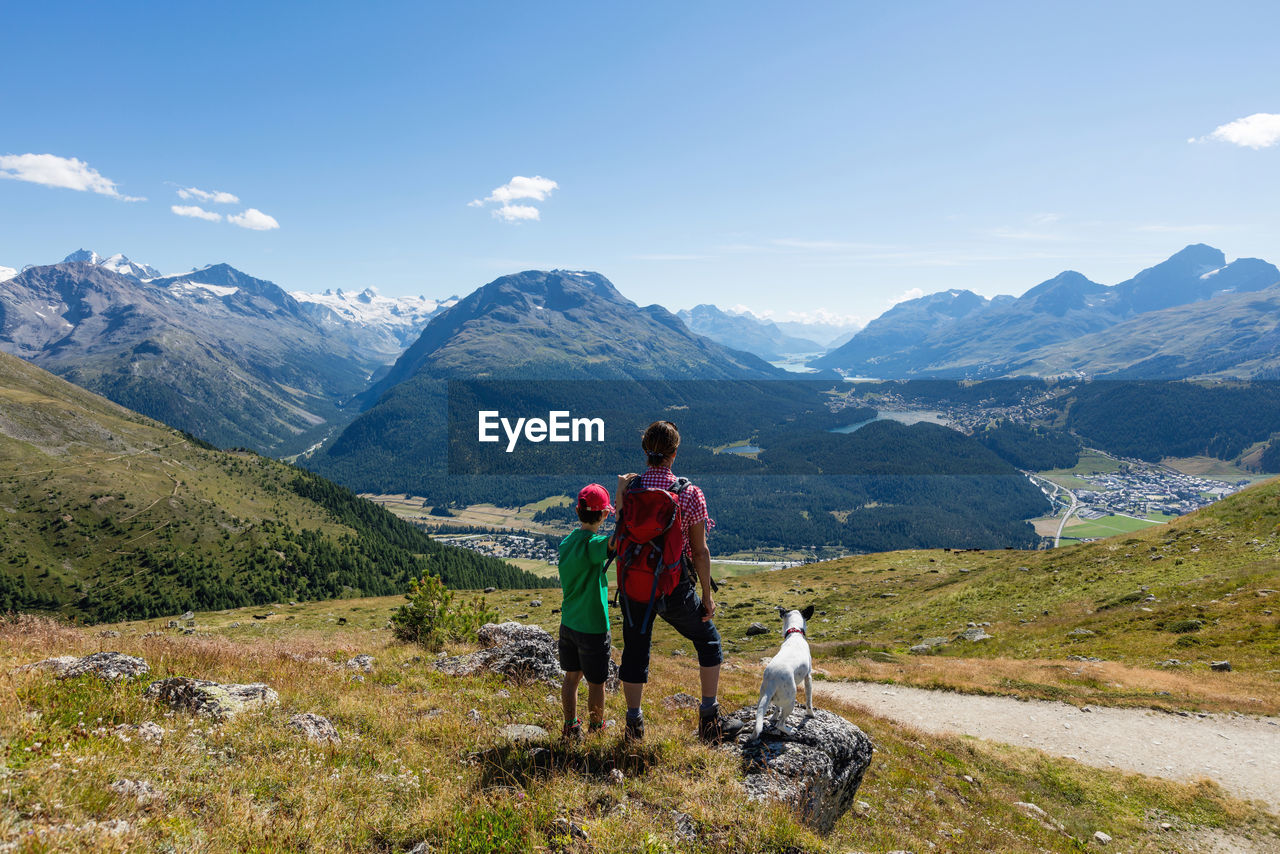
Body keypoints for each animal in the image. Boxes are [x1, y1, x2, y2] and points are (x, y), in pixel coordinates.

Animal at [752, 604, 814, 737]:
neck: (794, 633)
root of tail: (772, 681)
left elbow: (777, 709)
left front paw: (773, 716)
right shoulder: (808, 677)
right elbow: (809, 700)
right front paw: (811, 714)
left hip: (765, 698)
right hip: (791, 700)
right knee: (780, 724)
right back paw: (790, 731)